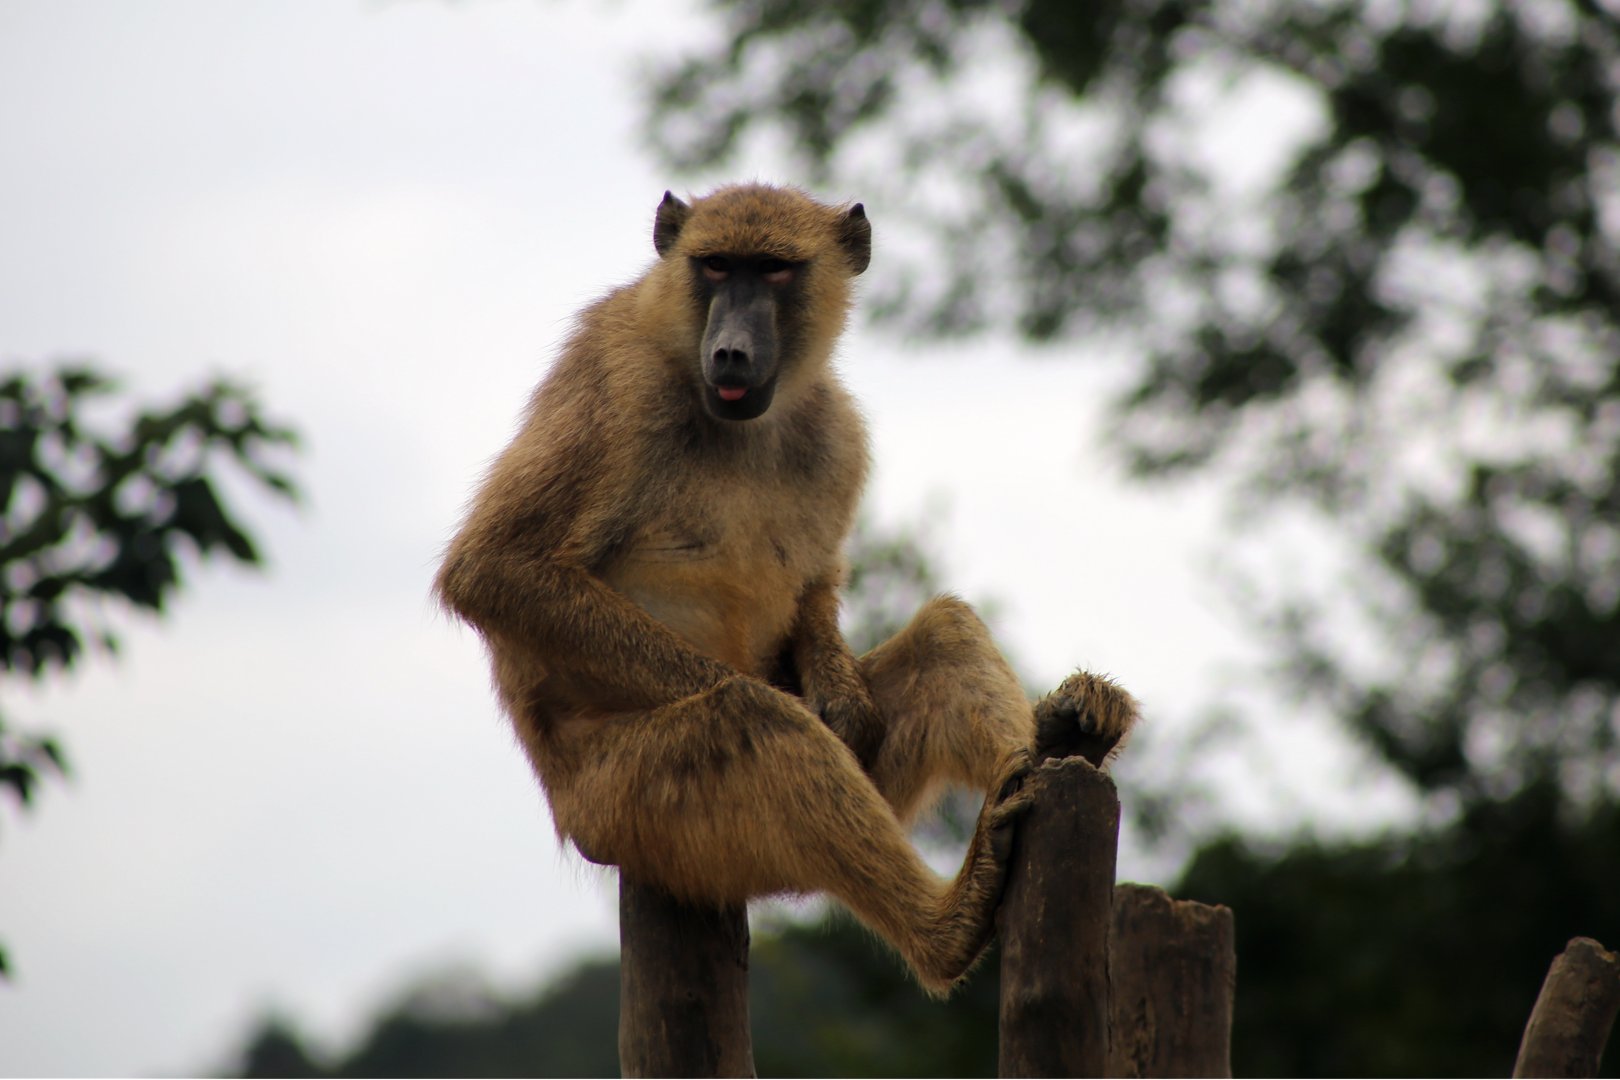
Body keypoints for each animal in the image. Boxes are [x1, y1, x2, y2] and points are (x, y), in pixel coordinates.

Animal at [435, 183, 1138, 994]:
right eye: (715, 265)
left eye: (773, 271)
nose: (731, 351)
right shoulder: (617, 381)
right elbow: (496, 570)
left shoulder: (836, 430)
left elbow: (816, 588)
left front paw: (846, 699)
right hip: (625, 812)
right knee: (756, 719)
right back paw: (951, 923)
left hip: (862, 789)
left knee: (946, 635)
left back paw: (1066, 744)